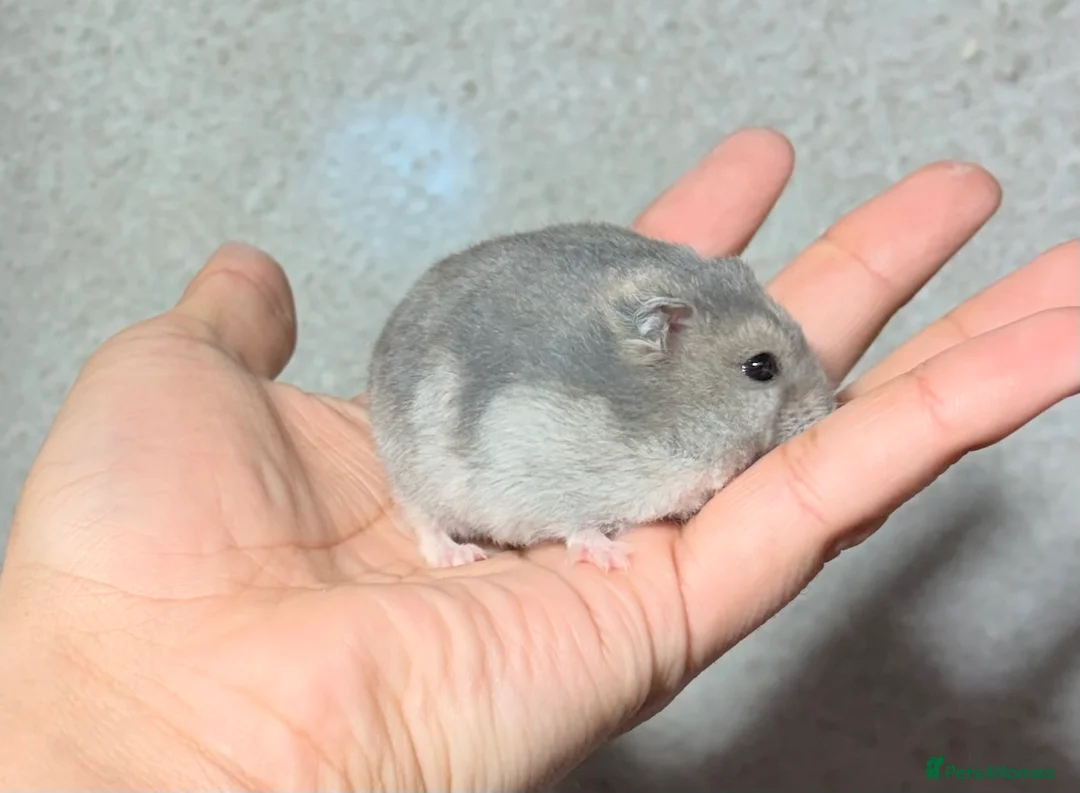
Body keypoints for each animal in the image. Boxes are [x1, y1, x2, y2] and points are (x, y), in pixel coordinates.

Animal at [366, 222, 836, 571]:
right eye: (760, 367)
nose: (828, 410)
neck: (667, 410)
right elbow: (576, 524)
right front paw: (617, 557)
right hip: (420, 474)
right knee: (424, 521)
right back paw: (462, 556)